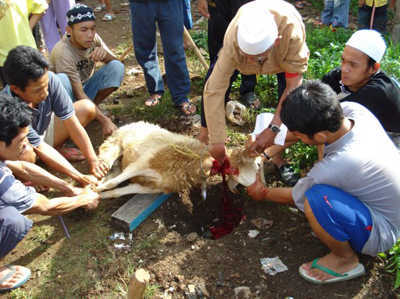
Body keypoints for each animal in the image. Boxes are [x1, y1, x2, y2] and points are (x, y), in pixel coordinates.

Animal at [94, 122, 262, 199]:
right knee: (105, 166)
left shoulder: (151, 187)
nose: (257, 187)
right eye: (256, 165)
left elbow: (117, 191)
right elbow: (112, 184)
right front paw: (95, 191)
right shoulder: (143, 163)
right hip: (114, 145)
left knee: (111, 174)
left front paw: (100, 196)